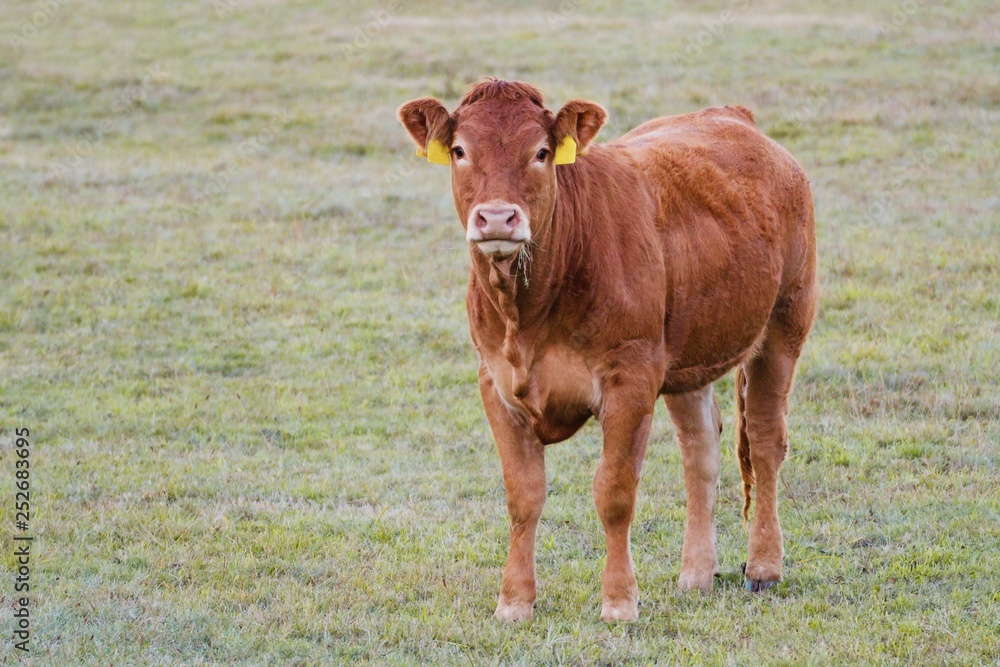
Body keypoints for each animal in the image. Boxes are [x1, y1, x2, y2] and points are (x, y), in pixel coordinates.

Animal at [394, 81, 816, 624]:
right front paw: (515, 601)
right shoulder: (495, 382)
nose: (497, 217)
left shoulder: (630, 377)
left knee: (764, 440)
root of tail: (733, 116)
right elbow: (523, 495)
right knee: (700, 448)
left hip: (785, 322)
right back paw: (696, 575)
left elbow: (614, 492)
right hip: (687, 356)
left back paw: (763, 567)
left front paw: (619, 601)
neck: (528, 315)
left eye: (541, 152)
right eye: (461, 151)